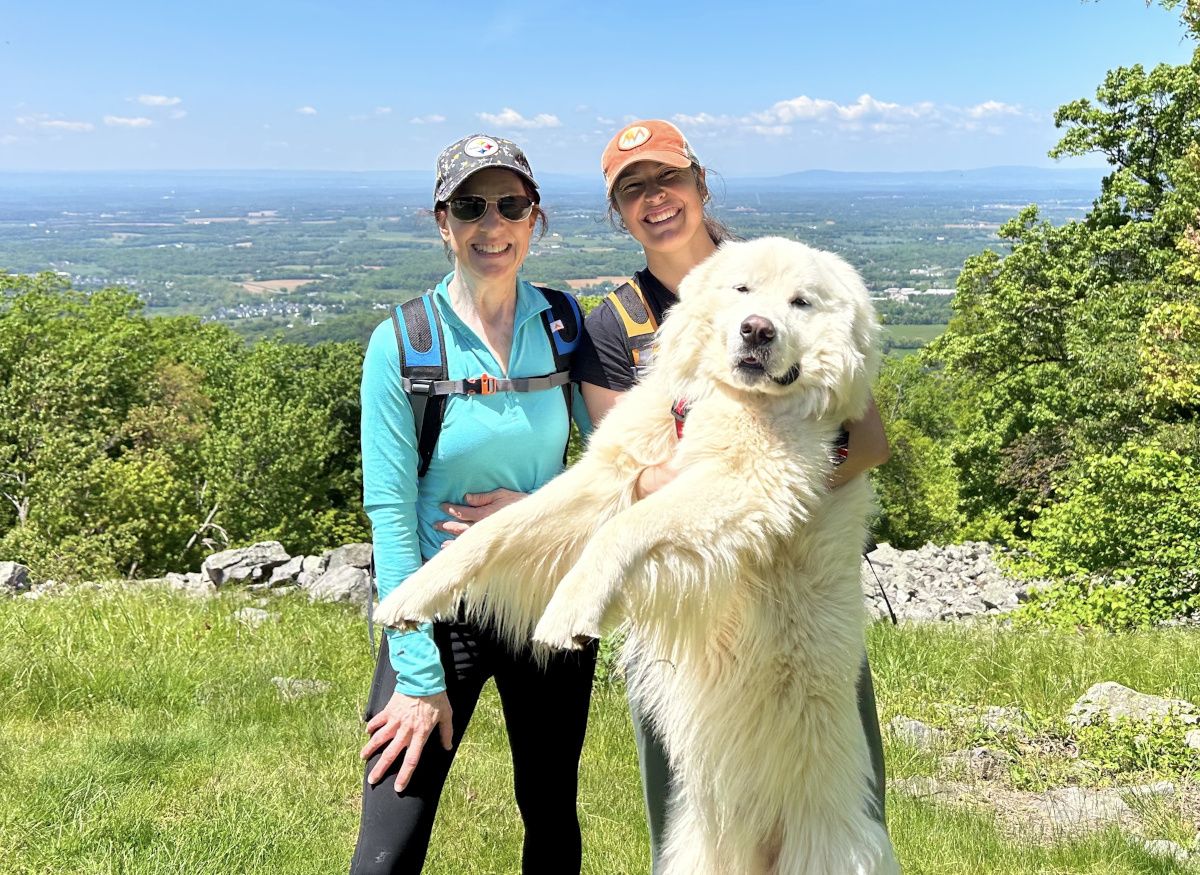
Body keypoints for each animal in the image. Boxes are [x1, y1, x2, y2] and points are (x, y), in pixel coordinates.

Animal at [379, 235, 897, 868]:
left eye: (801, 302)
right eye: (743, 289)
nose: (756, 330)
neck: (724, 400)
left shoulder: (745, 489)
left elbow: (621, 531)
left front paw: (568, 613)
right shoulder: (609, 476)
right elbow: (496, 530)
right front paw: (411, 594)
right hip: (697, 843)